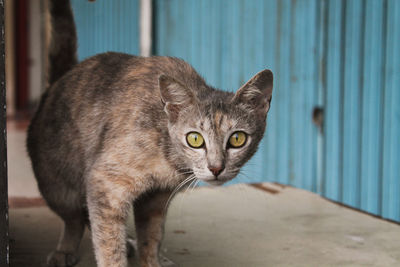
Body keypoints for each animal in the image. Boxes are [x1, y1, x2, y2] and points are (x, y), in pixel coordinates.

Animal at [27, 0, 272, 267]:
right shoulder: (105, 183)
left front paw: (150, 259)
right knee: (74, 219)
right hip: (58, 186)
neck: (166, 151)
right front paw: (115, 254)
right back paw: (65, 250)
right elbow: (109, 244)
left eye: (237, 139)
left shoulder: (156, 199)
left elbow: (151, 236)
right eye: (195, 139)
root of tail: (59, 80)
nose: (216, 168)